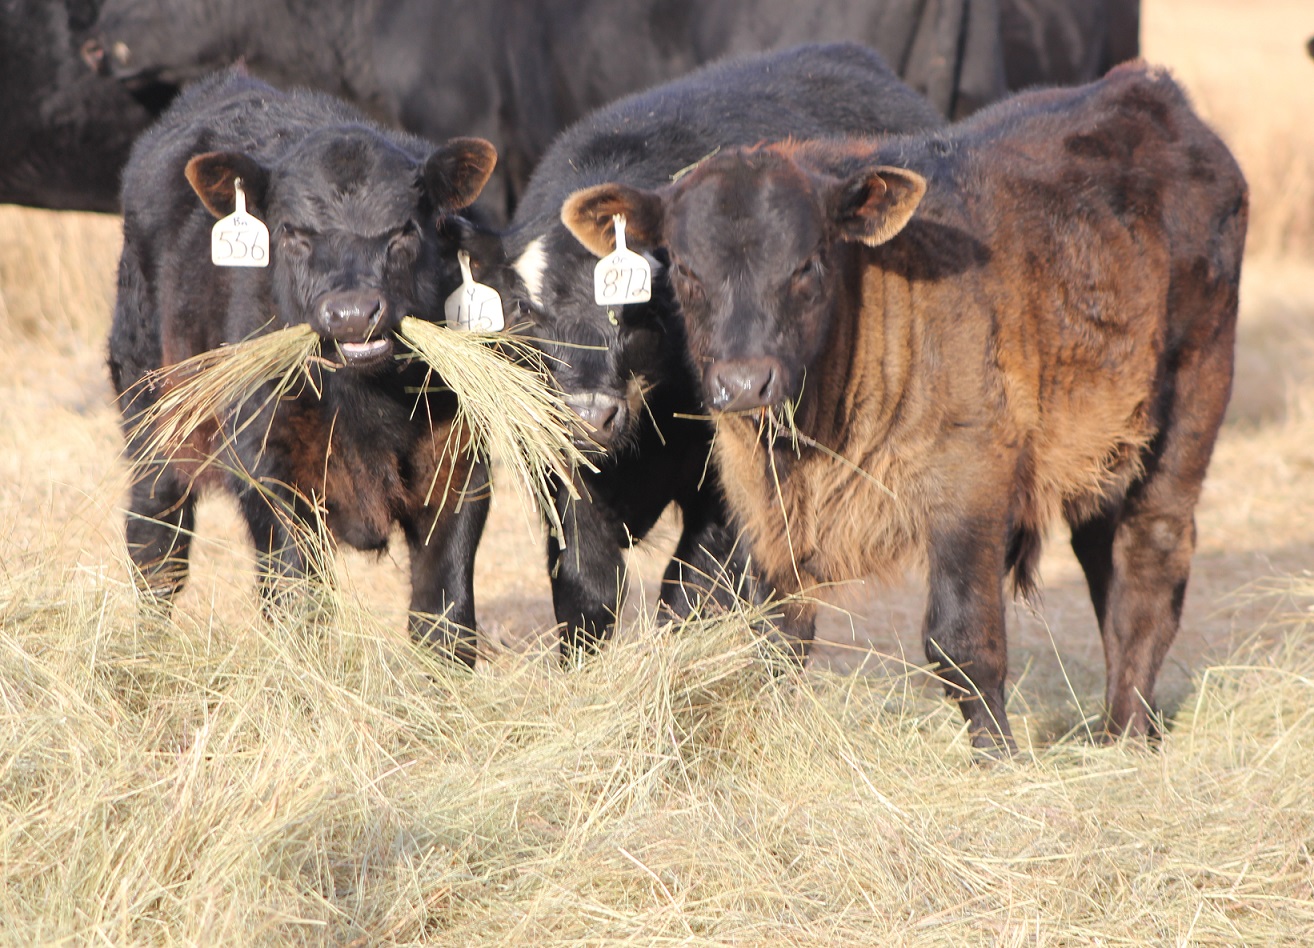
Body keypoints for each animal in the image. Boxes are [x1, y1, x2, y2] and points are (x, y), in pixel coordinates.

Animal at [107, 70, 494, 665]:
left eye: (405, 230)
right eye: (291, 231)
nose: (353, 313)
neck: (368, 406)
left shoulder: (459, 471)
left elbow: (445, 622)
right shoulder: (270, 472)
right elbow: (298, 605)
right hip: (151, 414)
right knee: (156, 543)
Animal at [467, 42, 951, 652]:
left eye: (638, 310)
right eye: (527, 310)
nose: (590, 416)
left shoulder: (725, 492)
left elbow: (691, 592)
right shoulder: (560, 473)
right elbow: (587, 590)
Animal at [562, 62, 1240, 752]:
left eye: (808, 265)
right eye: (685, 271)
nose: (745, 382)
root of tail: (1147, 87)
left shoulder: (971, 483)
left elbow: (962, 641)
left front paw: (999, 757)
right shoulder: (768, 511)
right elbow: (778, 637)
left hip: (1191, 399)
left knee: (1149, 560)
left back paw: (1128, 733)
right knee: (1104, 549)